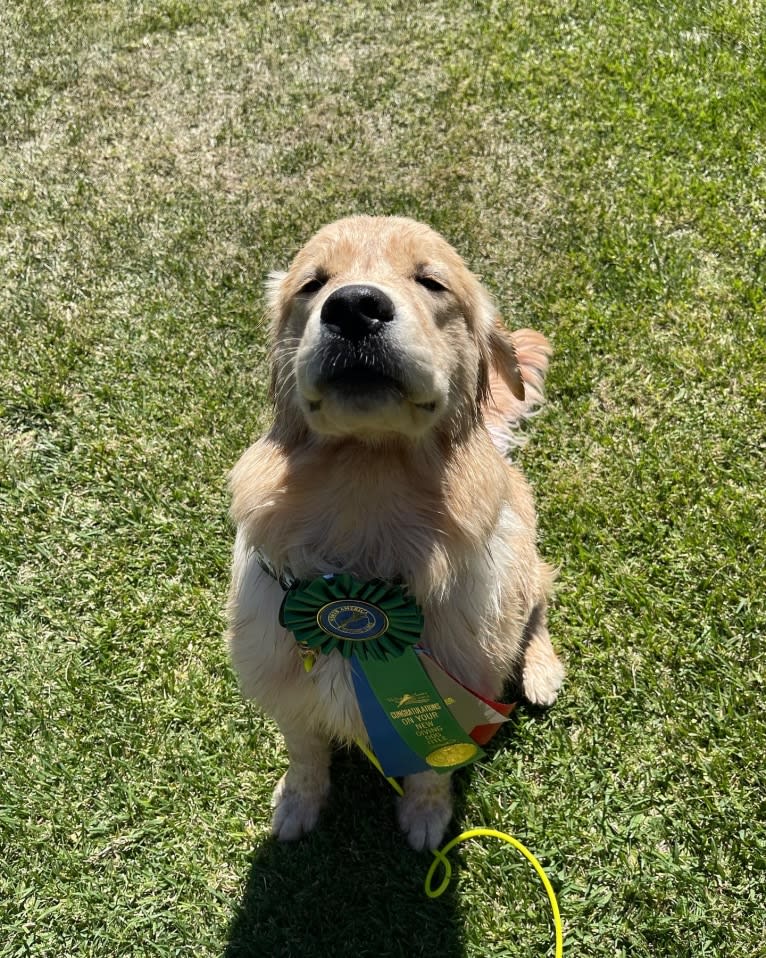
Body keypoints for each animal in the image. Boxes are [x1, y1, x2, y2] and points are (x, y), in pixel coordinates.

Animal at [225, 219, 568, 856]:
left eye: (431, 281)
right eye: (312, 284)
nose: (354, 307)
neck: (367, 489)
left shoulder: (459, 688)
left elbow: (434, 767)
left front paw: (426, 817)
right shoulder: (283, 679)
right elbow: (305, 754)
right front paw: (297, 803)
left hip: (520, 556)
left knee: (538, 604)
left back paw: (541, 671)